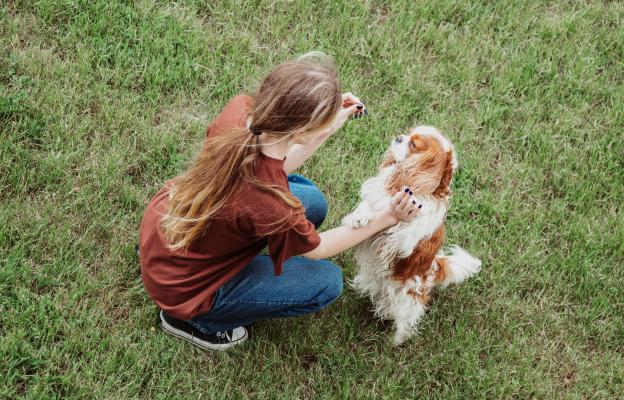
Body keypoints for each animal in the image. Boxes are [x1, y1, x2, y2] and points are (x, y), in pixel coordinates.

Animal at [344, 124, 480, 344]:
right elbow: (370, 206)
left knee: (405, 320)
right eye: (407, 133)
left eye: (413, 144)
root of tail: (433, 270)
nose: (399, 137)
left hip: (408, 297)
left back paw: (397, 340)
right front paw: (359, 217)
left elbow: (402, 231)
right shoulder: (378, 198)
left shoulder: (407, 242)